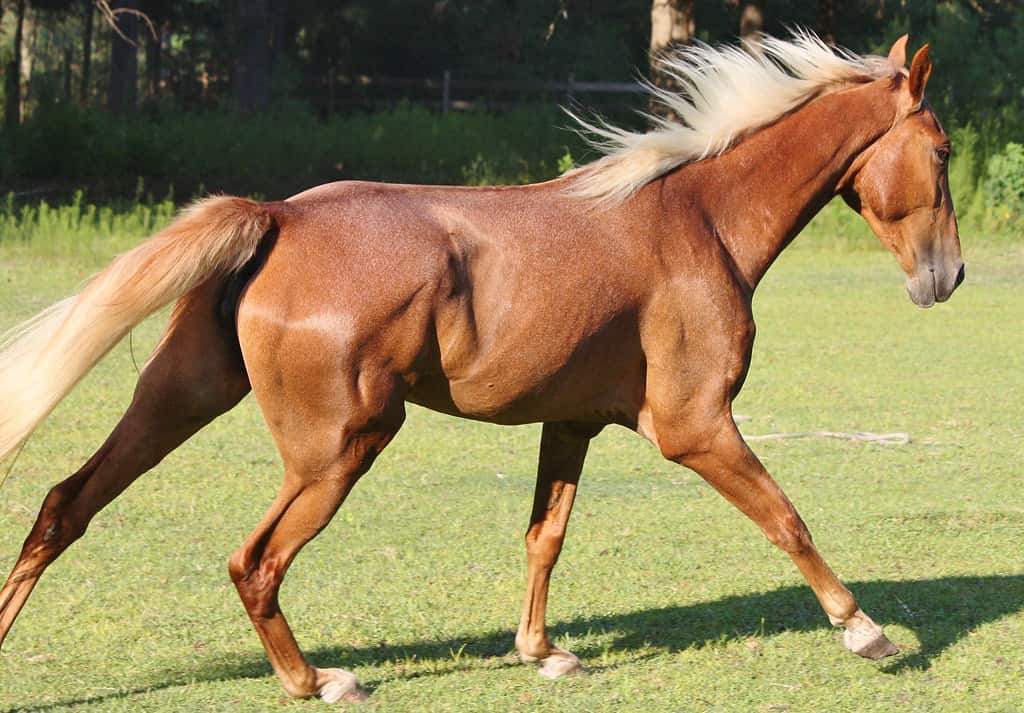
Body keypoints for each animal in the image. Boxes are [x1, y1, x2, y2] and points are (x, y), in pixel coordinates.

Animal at [0, 33, 962, 700]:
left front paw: (544, 653)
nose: (946, 277)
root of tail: (277, 216)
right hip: (339, 446)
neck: (698, 219)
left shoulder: (572, 422)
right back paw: (317, 682)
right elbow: (787, 517)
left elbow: (545, 535)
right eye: (944, 150)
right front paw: (865, 631)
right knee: (254, 561)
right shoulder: (695, 426)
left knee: (63, 505)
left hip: (181, 397)